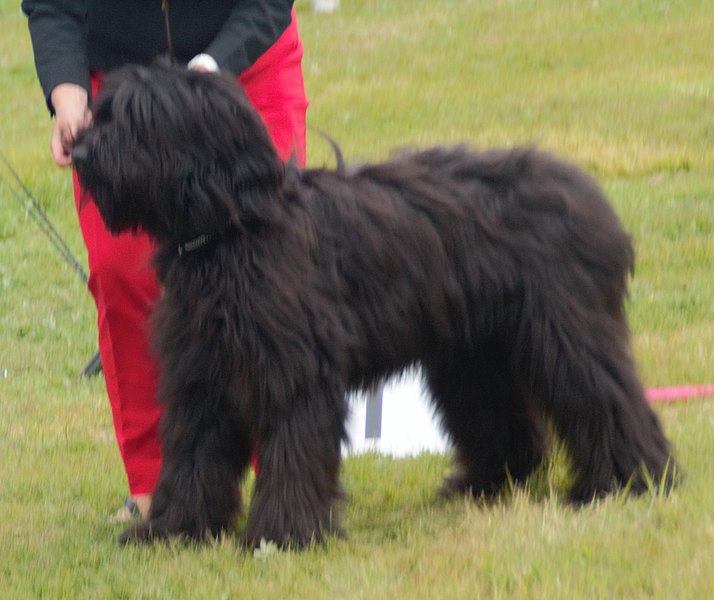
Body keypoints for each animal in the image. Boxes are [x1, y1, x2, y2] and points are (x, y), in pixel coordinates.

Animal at [72, 63, 672, 548]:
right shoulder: (203, 374)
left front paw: (283, 535)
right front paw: (171, 531)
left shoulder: (295, 371)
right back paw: (483, 487)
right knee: (502, 416)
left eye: (137, 119)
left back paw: (627, 484)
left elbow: (293, 449)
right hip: (473, 356)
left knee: (604, 398)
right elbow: (193, 456)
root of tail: (590, 195)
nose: (76, 151)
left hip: (565, 332)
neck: (231, 228)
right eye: (101, 112)